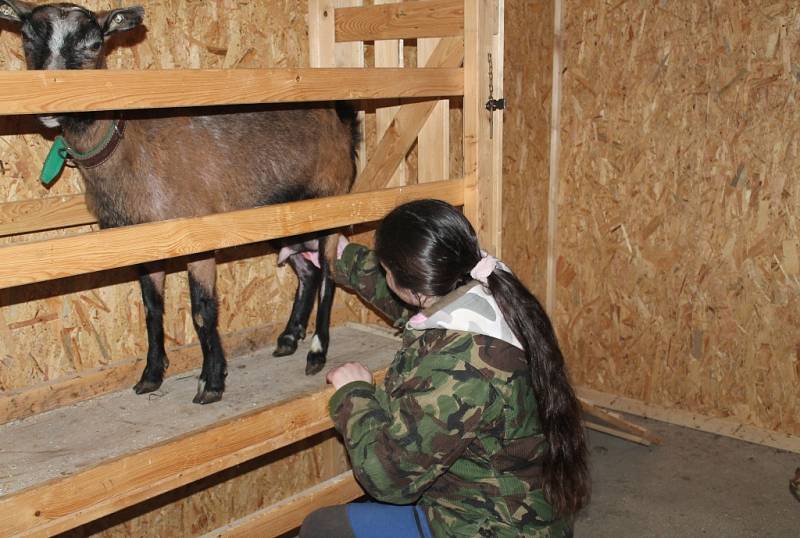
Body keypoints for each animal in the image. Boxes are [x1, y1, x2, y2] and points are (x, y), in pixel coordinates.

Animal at [0, 0, 356, 402]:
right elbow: (152, 309)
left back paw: (316, 352)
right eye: (27, 38)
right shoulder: (144, 245)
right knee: (308, 271)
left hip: (329, 200)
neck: (129, 147)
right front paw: (151, 375)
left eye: (94, 43)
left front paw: (212, 382)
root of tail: (341, 122)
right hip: (281, 214)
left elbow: (202, 311)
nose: (49, 106)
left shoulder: (198, 235)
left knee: (329, 274)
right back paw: (288, 338)